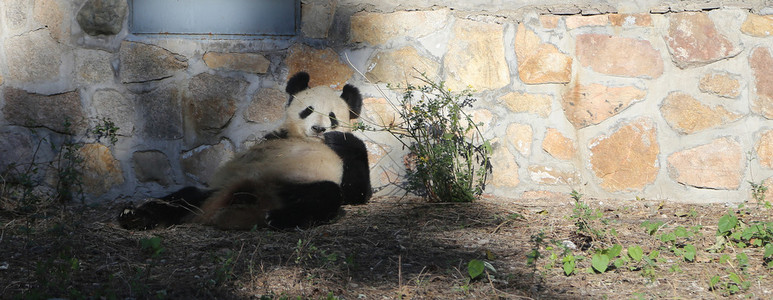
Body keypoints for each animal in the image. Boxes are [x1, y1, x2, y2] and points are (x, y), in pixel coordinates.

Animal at [119, 72, 372, 230]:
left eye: (332, 116)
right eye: (308, 110)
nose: (319, 129)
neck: (308, 140)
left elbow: (356, 191)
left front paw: (338, 138)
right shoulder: (275, 138)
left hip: (293, 185)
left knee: (327, 194)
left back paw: (277, 217)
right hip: (218, 192)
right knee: (186, 196)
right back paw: (134, 216)